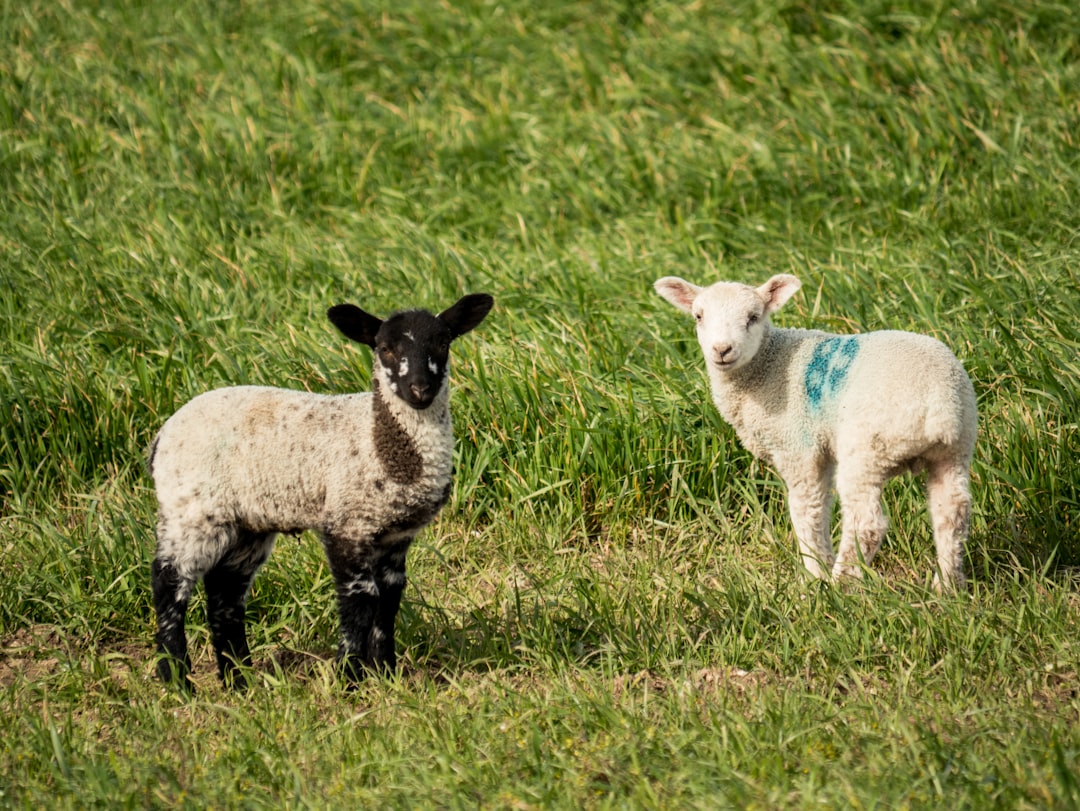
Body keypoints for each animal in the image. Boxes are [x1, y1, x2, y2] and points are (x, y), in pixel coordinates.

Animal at [149, 293, 494, 691]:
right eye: (386, 349)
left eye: (442, 343)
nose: (420, 389)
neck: (382, 442)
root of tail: (162, 435)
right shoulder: (347, 522)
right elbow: (360, 598)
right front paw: (348, 678)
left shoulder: (395, 536)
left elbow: (389, 599)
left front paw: (386, 674)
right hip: (191, 508)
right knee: (170, 582)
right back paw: (177, 680)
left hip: (247, 523)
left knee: (225, 593)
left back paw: (240, 681)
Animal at [648, 274, 980, 591]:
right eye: (698, 316)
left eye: (753, 317)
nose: (722, 350)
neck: (766, 366)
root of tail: (939, 403)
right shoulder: (820, 449)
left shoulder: (798, 447)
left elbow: (807, 511)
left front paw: (814, 576)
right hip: (956, 448)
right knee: (952, 513)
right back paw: (947, 586)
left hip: (867, 447)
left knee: (866, 523)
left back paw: (840, 584)